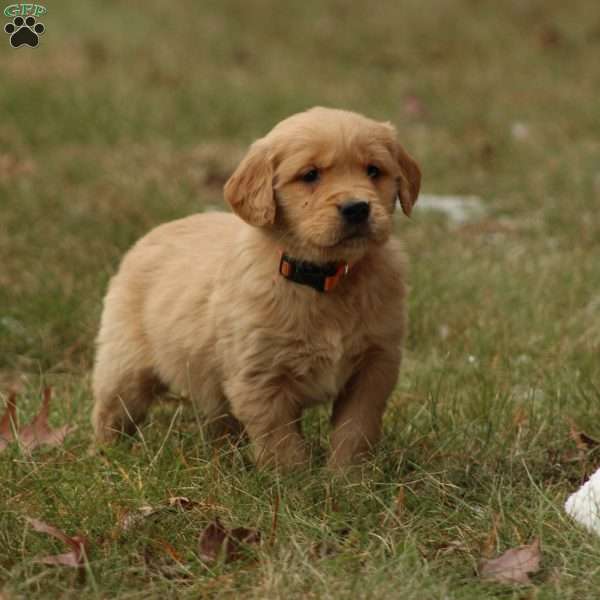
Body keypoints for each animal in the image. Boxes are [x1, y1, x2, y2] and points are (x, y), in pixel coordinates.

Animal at [92, 105, 422, 468]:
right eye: (310, 175)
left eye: (374, 170)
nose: (357, 208)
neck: (325, 279)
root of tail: (150, 235)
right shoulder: (260, 376)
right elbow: (281, 443)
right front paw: (296, 481)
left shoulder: (376, 363)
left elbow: (356, 427)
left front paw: (349, 476)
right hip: (125, 366)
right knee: (111, 412)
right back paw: (103, 457)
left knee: (220, 422)